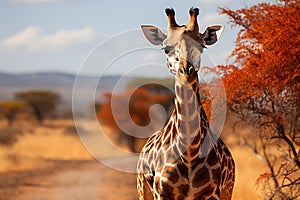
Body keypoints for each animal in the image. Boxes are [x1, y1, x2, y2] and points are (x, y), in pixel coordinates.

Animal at [137, 7, 236, 199]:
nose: (186, 71)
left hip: (228, 191)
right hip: (142, 190)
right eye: (166, 49)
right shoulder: (161, 194)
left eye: (202, 46)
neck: (190, 153)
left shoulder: (212, 194)